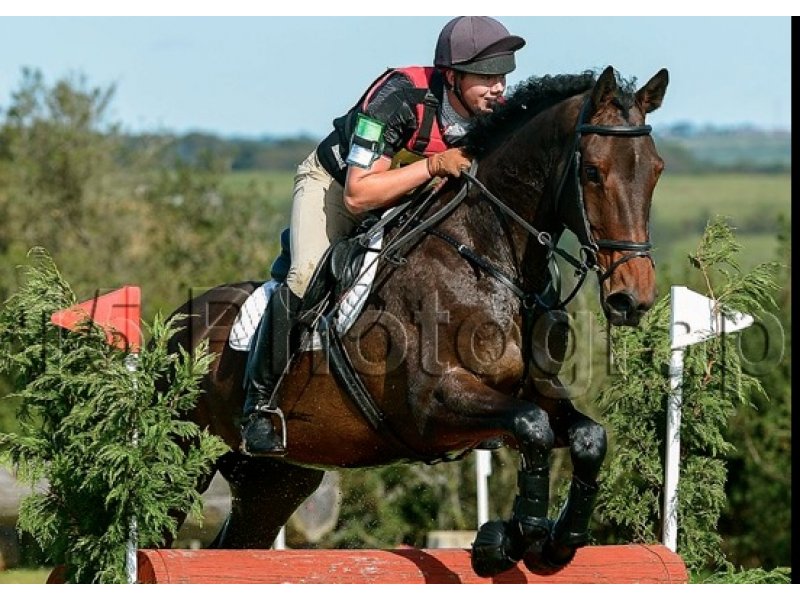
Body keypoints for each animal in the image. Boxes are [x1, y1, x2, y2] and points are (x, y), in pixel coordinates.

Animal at [165, 66, 668, 577]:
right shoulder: (431, 403)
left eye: (656, 171)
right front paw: (509, 539)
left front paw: (549, 543)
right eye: (592, 172)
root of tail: (179, 321)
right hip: (185, 460)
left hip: (273, 478)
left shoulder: (535, 390)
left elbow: (587, 437)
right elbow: (533, 429)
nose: (632, 297)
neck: (489, 261)